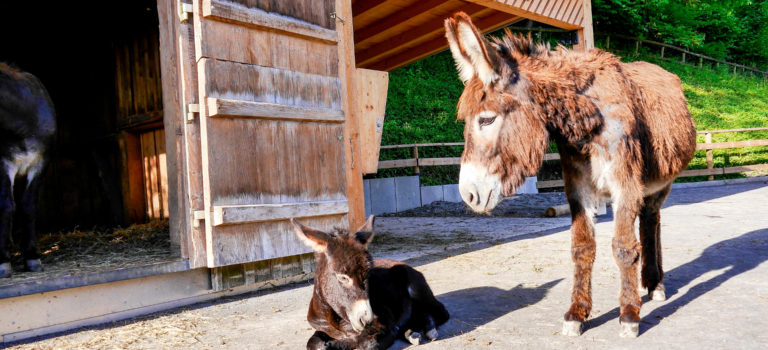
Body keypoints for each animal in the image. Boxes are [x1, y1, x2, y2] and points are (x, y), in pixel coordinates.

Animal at [292, 216, 450, 350]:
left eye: (368, 275)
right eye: (343, 277)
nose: (366, 320)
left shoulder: (383, 324)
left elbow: (365, 343)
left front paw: (338, 344)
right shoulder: (322, 328)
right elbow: (314, 344)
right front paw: (330, 344)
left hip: (416, 288)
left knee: (439, 311)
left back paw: (428, 331)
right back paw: (411, 333)